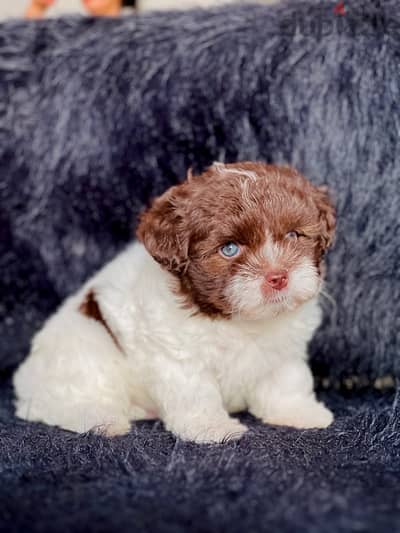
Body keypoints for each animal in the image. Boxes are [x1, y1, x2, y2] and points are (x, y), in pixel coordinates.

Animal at [14, 161, 336, 440]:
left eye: (293, 235)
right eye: (230, 248)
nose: (277, 276)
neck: (238, 320)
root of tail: (26, 380)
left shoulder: (284, 351)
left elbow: (287, 381)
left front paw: (300, 412)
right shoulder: (179, 355)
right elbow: (196, 391)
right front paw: (212, 428)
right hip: (84, 345)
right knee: (64, 400)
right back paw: (100, 418)